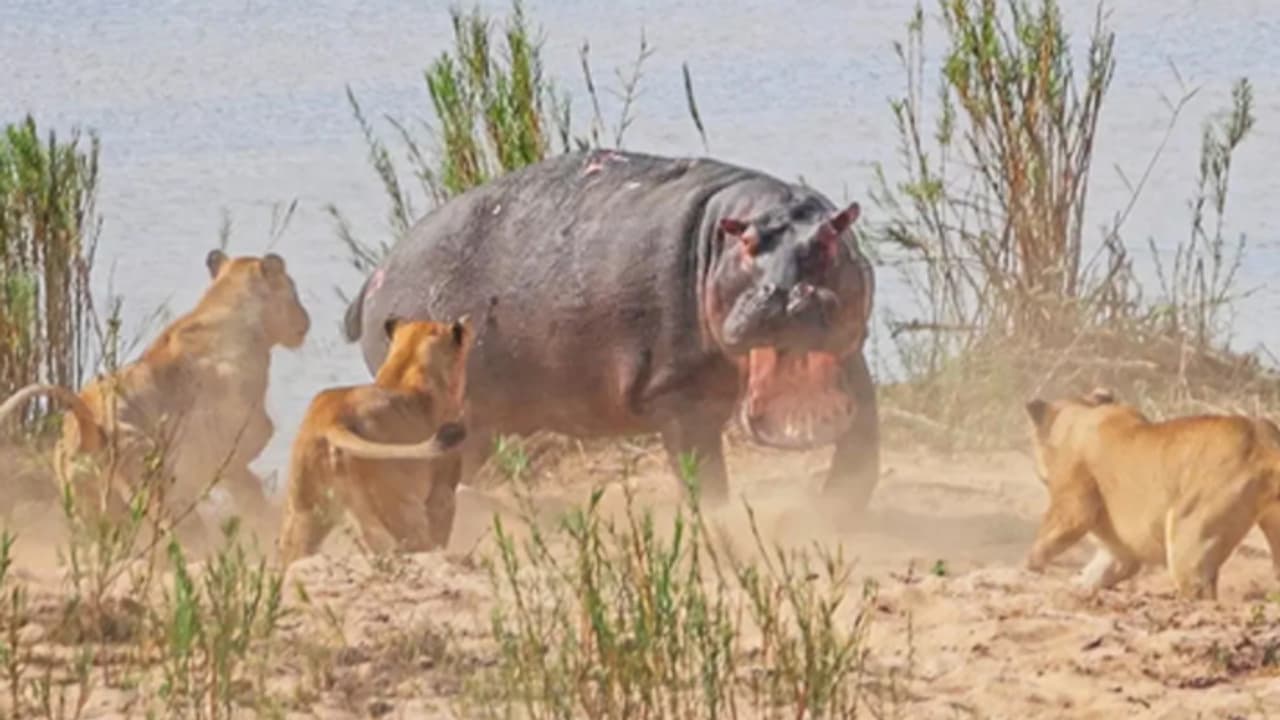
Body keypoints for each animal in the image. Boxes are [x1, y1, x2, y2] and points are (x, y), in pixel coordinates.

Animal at [342, 149, 878, 520]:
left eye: (830, 238)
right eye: (746, 243)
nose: (787, 292)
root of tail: (374, 275)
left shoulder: (855, 358)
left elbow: (861, 445)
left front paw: (837, 510)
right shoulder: (680, 396)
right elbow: (702, 471)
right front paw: (716, 518)